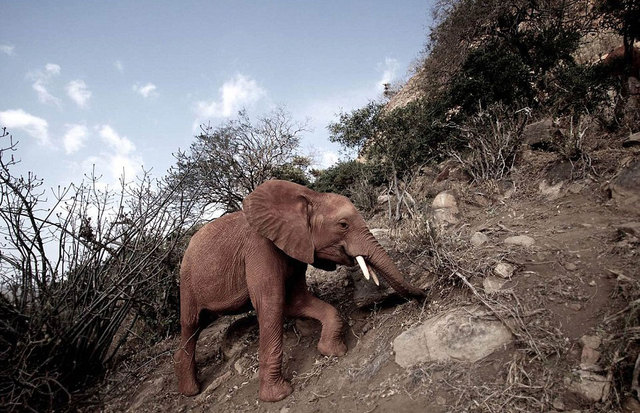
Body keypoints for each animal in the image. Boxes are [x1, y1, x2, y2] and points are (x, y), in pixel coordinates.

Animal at [175, 179, 424, 400]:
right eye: (343, 225)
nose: (424, 295)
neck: (309, 197)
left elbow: (296, 301)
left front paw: (332, 351)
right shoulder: (259, 247)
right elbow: (271, 304)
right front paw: (278, 395)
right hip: (186, 280)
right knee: (191, 325)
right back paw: (191, 392)